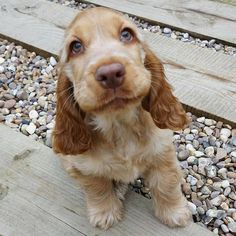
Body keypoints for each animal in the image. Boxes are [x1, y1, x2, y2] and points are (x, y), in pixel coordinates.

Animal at [52, 6, 193, 229]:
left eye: (127, 34)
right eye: (75, 46)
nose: (110, 73)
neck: (119, 124)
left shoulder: (162, 155)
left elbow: (167, 185)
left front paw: (175, 213)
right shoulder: (86, 170)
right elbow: (98, 189)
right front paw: (104, 213)